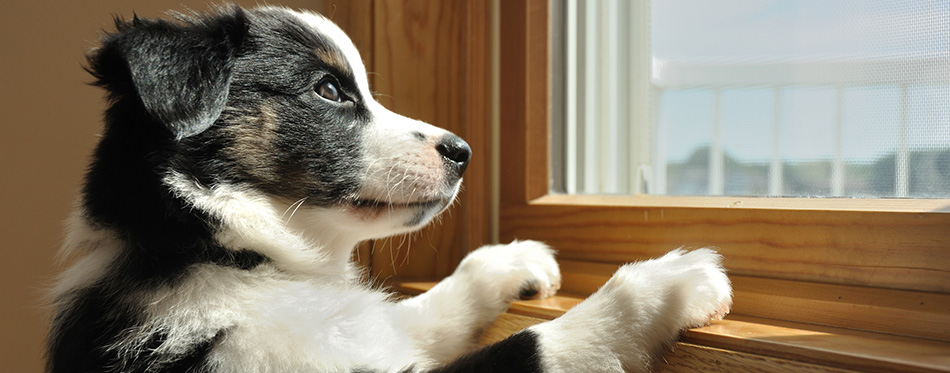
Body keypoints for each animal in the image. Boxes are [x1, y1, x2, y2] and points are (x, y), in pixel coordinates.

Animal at [48, 6, 736, 372]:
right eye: (329, 89)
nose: (463, 153)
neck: (241, 256)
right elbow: (536, 343)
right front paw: (666, 285)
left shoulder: (377, 334)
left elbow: (427, 309)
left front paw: (513, 260)